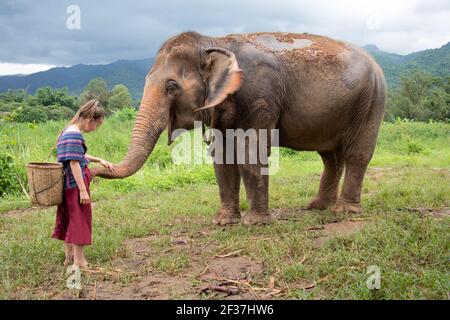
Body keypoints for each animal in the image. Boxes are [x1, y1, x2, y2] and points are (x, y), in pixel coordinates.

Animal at [92, 31, 386, 225]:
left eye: (171, 86)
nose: (92, 172)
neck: (215, 42)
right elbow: (222, 158)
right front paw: (224, 222)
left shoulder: (260, 93)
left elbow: (250, 152)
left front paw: (255, 223)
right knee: (330, 157)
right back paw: (316, 207)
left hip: (370, 102)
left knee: (356, 154)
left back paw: (344, 212)